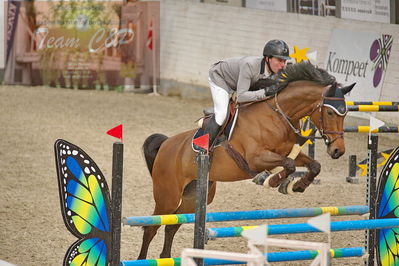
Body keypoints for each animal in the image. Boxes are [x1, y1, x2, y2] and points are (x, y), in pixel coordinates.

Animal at [139, 61, 354, 258]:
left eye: (345, 113)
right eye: (330, 112)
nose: (338, 150)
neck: (277, 115)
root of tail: (166, 144)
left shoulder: (286, 151)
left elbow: (313, 165)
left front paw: (297, 185)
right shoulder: (255, 158)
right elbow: (288, 164)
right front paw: (272, 180)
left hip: (194, 197)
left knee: (171, 225)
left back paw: (165, 257)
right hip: (167, 196)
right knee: (152, 227)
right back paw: (142, 258)